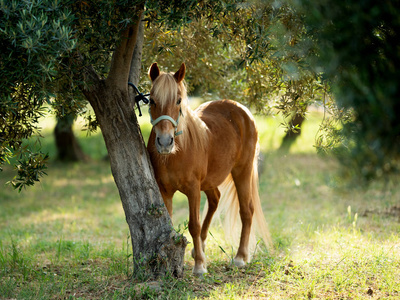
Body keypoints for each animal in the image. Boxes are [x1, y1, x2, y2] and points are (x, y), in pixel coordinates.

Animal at [147, 62, 272, 276]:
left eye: (178, 100)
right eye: (152, 100)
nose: (164, 142)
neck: (175, 154)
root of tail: (242, 110)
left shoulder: (193, 189)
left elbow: (194, 225)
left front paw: (199, 266)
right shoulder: (165, 191)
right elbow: (170, 221)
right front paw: (197, 258)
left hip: (242, 171)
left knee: (247, 211)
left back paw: (240, 257)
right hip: (211, 180)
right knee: (215, 199)